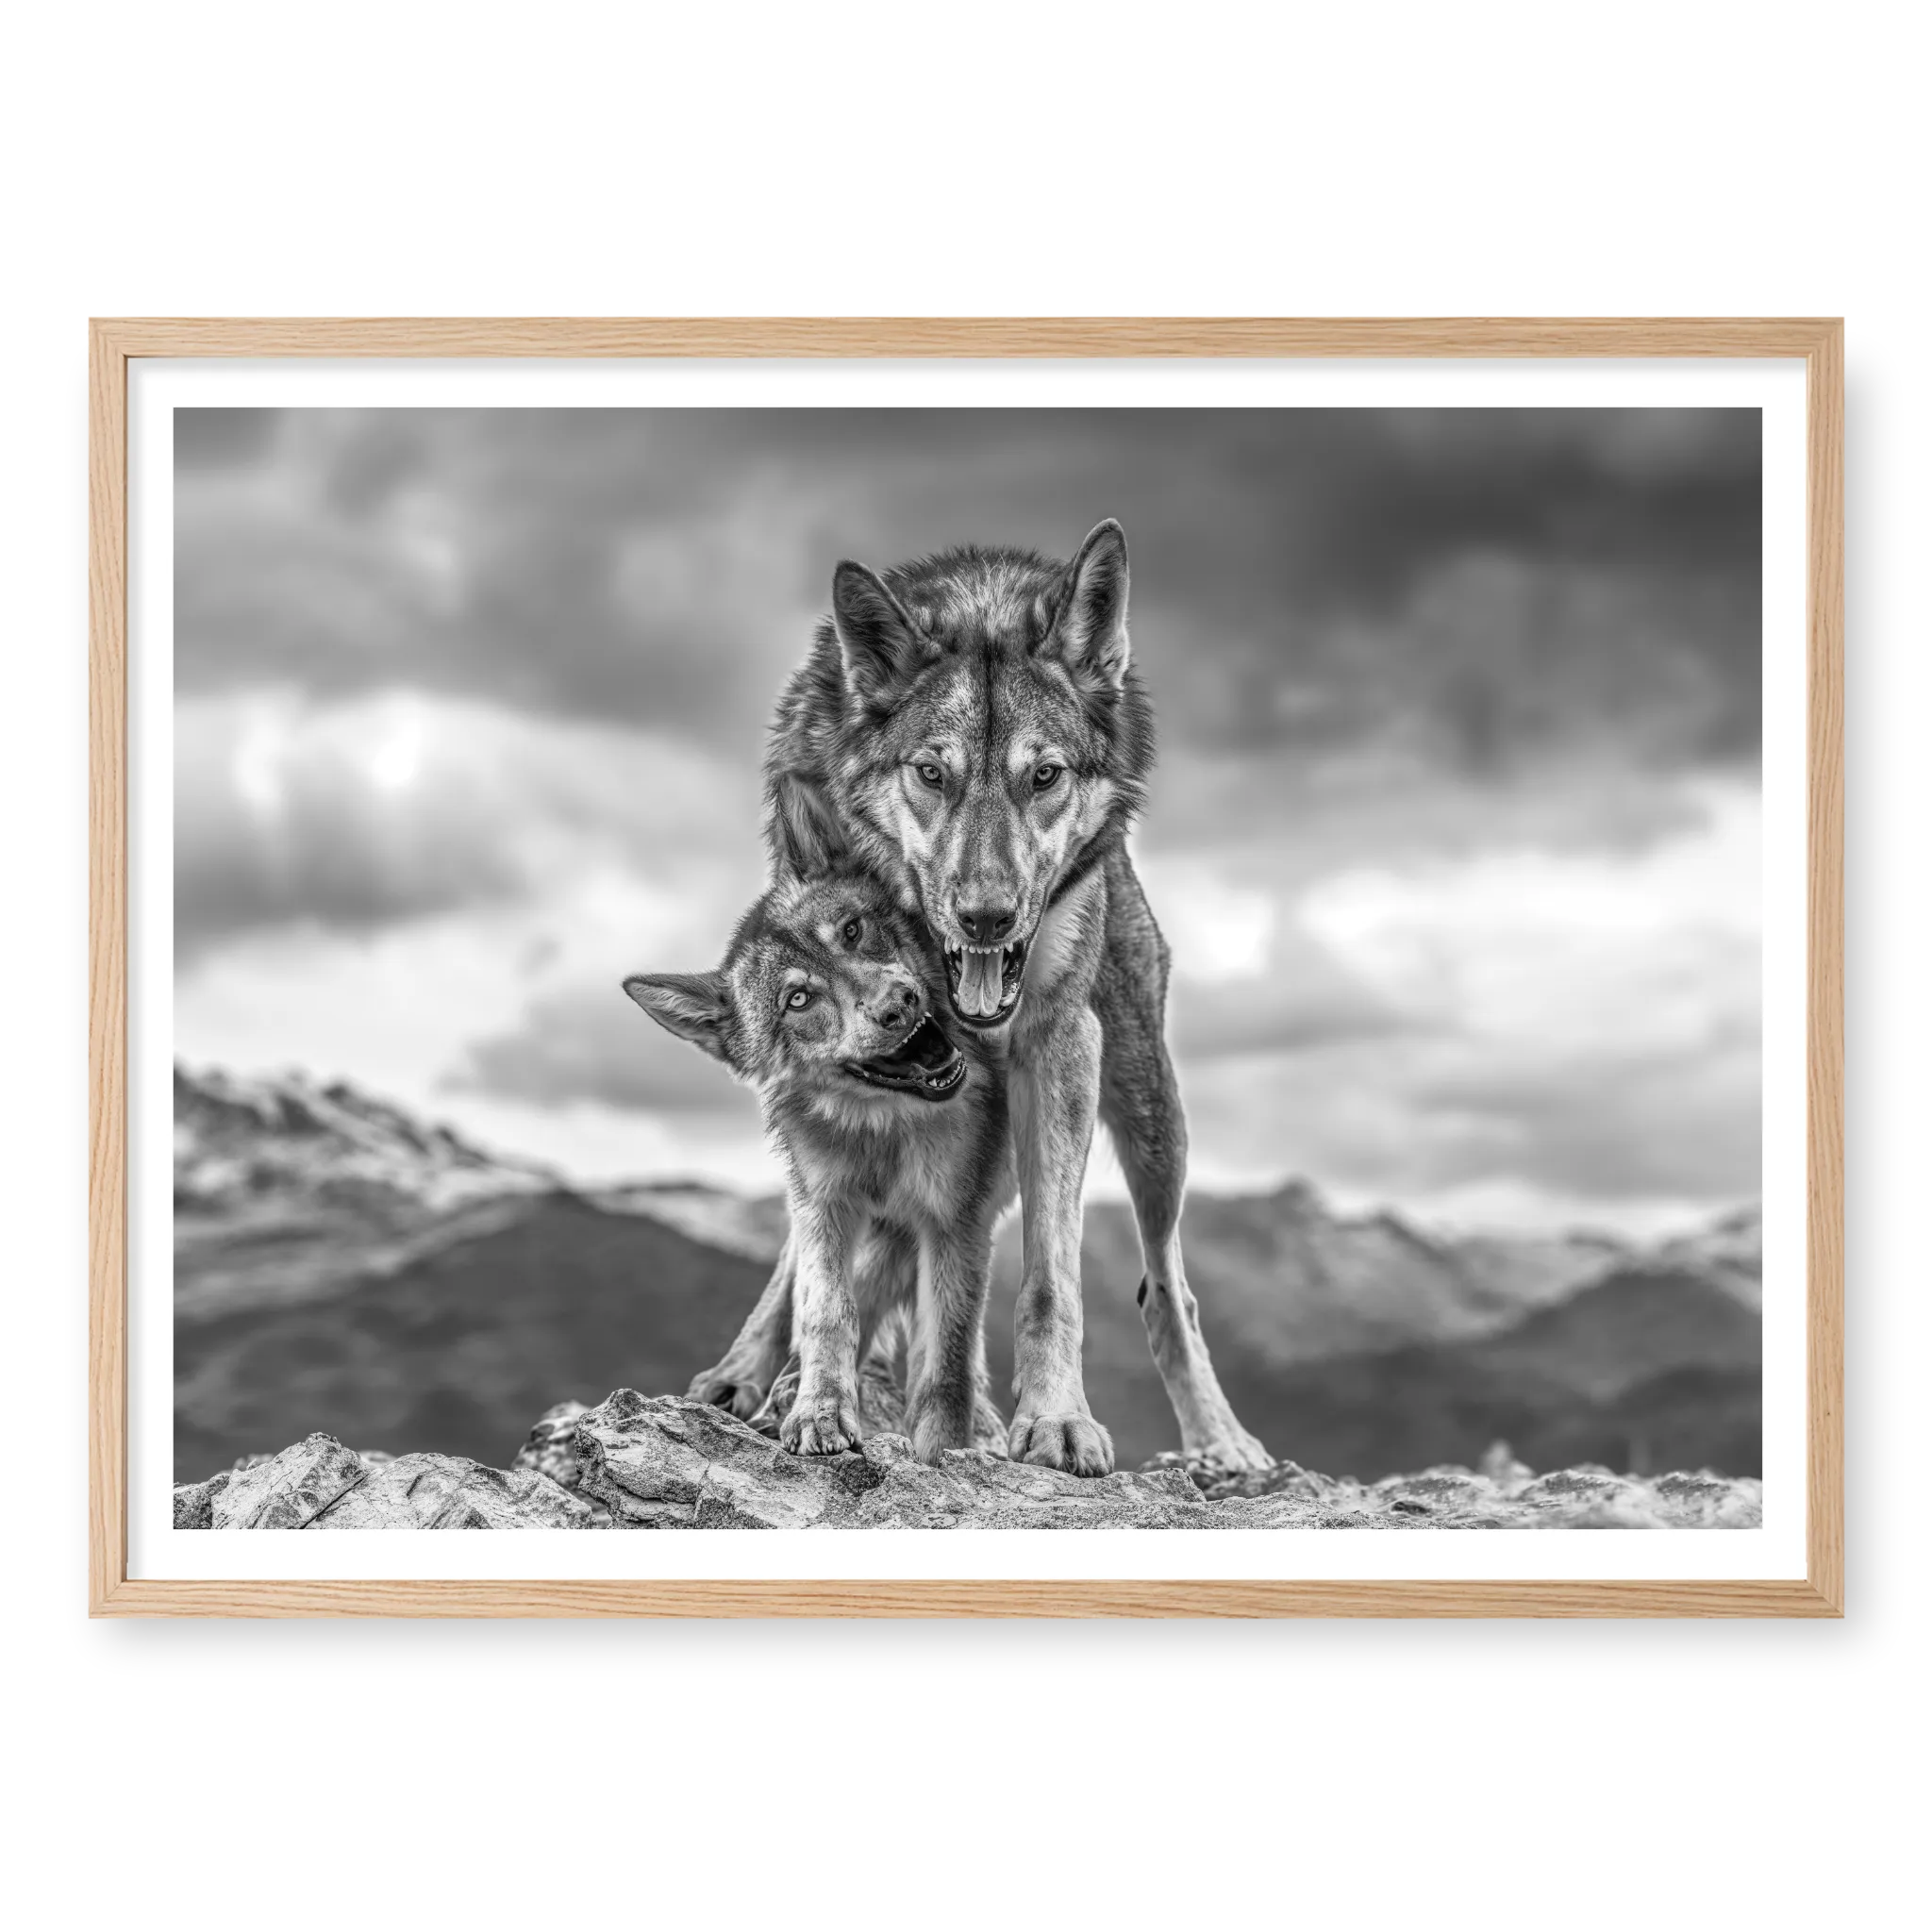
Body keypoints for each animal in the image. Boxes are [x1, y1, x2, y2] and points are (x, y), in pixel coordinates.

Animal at [624, 854, 1012, 1463]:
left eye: (852, 932)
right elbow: (827, 1310)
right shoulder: (824, 1204)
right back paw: (741, 1379)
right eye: (798, 1000)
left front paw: (943, 1454)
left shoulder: (955, 1220)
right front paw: (820, 1411)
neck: (882, 1133)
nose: (899, 1005)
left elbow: (946, 1361)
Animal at [751, 520, 1269, 1476]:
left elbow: (1050, 1276)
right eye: (931, 773)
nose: (986, 917)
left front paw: (1054, 1419)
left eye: (1045, 776)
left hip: (1153, 1119)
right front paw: (828, 1395)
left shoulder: (1060, 1046)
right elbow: (834, 1258)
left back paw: (1222, 1442)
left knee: (1167, 1290)